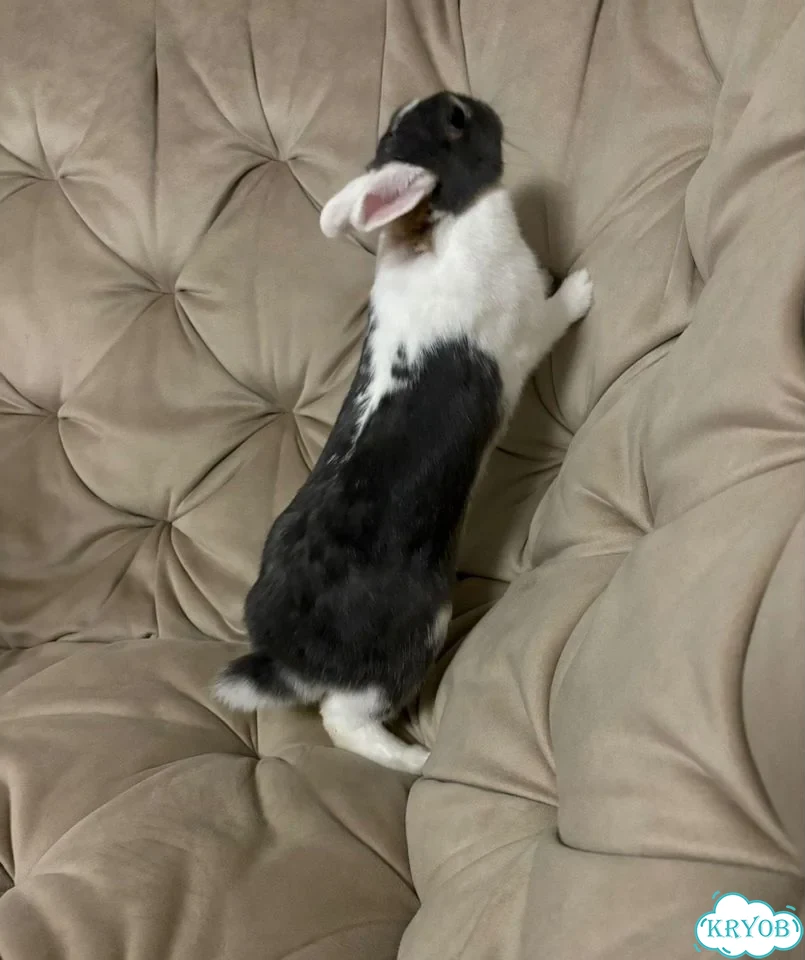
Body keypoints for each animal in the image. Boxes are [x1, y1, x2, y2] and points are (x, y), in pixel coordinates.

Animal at [214, 92, 593, 774]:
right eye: (458, 121)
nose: (484, 105)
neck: (443, 223)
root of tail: (289, 657)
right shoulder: (525, 329)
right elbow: (554, 316)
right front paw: (580, 286)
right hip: (417, 632)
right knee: (344, 721)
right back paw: (414, 760)